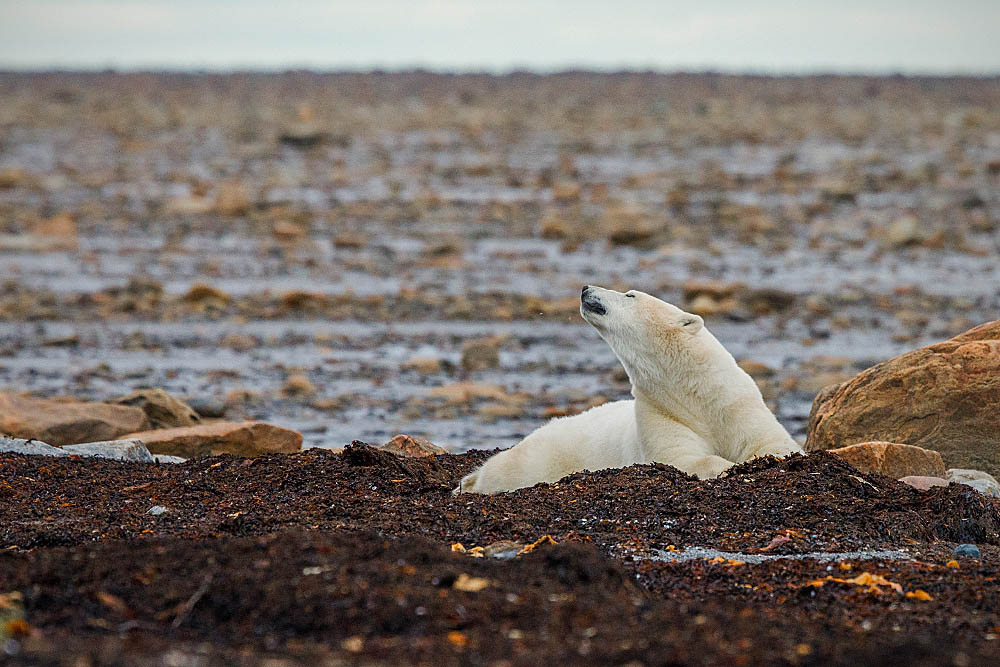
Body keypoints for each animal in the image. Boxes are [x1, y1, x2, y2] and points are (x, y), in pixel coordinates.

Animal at [458, 284, 800, 494]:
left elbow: (773, 444)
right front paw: (726, 466)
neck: (697, 394)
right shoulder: (660, 413)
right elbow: (681, 457)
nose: (585, 289)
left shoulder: (737, 403)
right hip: (539, 457)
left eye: (630, 294)